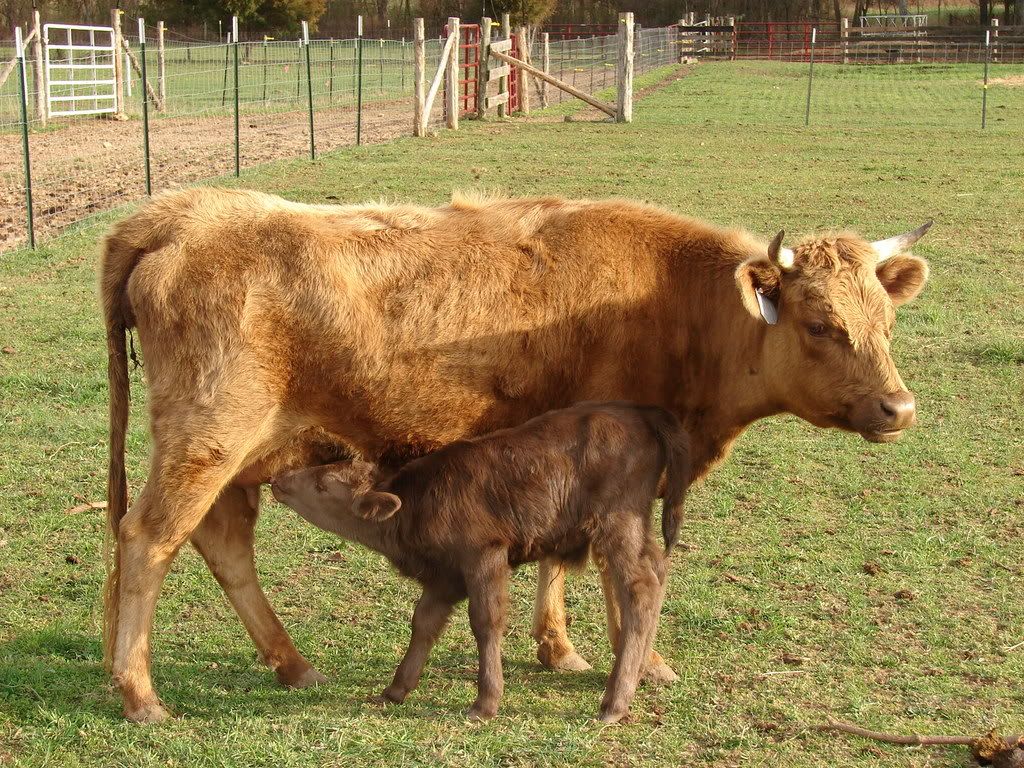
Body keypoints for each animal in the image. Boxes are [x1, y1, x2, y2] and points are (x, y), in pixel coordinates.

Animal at [270, 402, 691, 723]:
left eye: (323, 485)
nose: (278, 480)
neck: (417, 504)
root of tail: (641, 412)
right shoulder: (443, 577)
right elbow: (424, 622)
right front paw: (395, 689)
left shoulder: (484, 556)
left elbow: (485, 621)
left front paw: (485, 703)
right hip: (635, 529)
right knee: (658, 571)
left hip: (616, 524)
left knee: (639, 588)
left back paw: (614, 702)